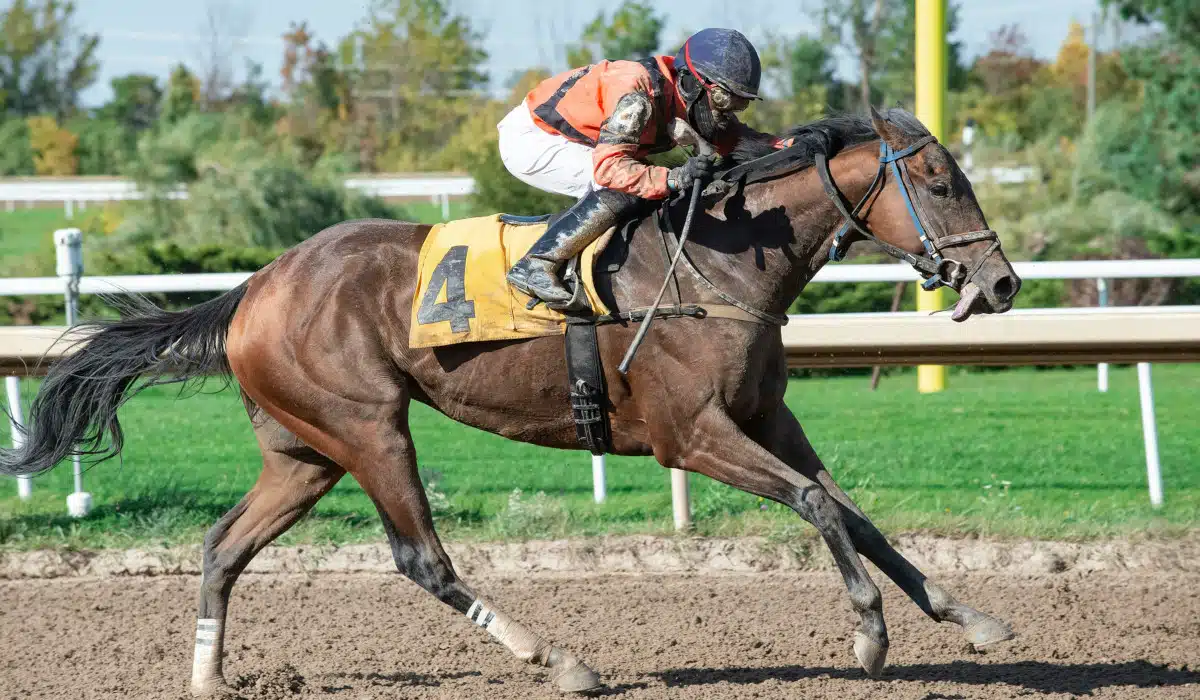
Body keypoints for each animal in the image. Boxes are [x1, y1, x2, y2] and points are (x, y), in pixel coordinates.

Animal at [4, 109, 1022, 696]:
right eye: (940, 181)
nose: (1002, 283)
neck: (723, 262)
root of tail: (256, 286)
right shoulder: (689, 435)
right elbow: (817, 504)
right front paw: (870, 637)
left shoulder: (769, 418)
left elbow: (855, 513)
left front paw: (971, 617)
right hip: (368, 428)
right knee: (421, 558)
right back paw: (559, 661)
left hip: (304, 453)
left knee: (223, 545)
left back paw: (210, 679)